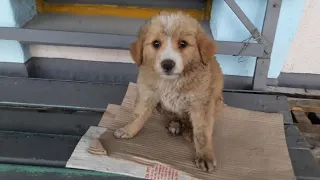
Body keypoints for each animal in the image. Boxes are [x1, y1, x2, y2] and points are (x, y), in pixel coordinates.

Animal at [114, 11, 222, 172]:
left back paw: (188, 131)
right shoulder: (147, 93)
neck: (171, 82)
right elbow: (138, 115)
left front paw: (204, 155)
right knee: (176, 117)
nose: (167, 64)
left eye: (183, 44)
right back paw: (175, 125)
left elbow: (202, 132)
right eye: (156, 43)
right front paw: (128, 130)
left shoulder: (201, 103)